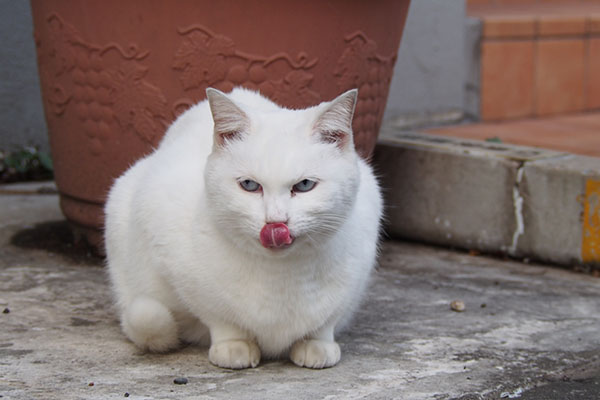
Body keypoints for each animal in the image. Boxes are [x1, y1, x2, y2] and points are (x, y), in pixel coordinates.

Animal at [103, 86, 382, 368]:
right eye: (249, 185)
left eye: (304, 185)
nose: (275, 221)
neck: (279, 276)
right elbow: (219, 317)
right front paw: (234, 346)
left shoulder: (354, 276)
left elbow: (325, 322)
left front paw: (316, 344)